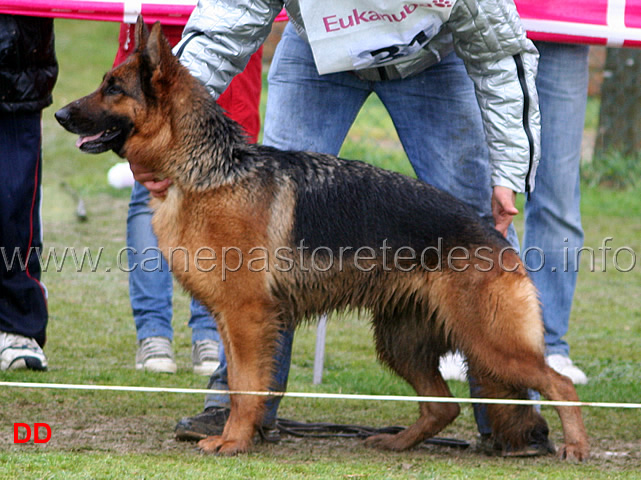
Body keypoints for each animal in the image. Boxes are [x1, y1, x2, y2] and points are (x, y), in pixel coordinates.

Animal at [56, 17, 592, 462]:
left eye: (112, 88)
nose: (59, 113)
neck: (209, 170)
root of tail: (492, 234)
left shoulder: (248, 317)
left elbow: (247, 387)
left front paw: (234, 442)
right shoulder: (232, 321)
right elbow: (240, 384)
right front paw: (234, 433)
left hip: (489, 342)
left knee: (560, 385)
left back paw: (575, 447)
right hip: (402, 343)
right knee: (443, 406)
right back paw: (398, 442)